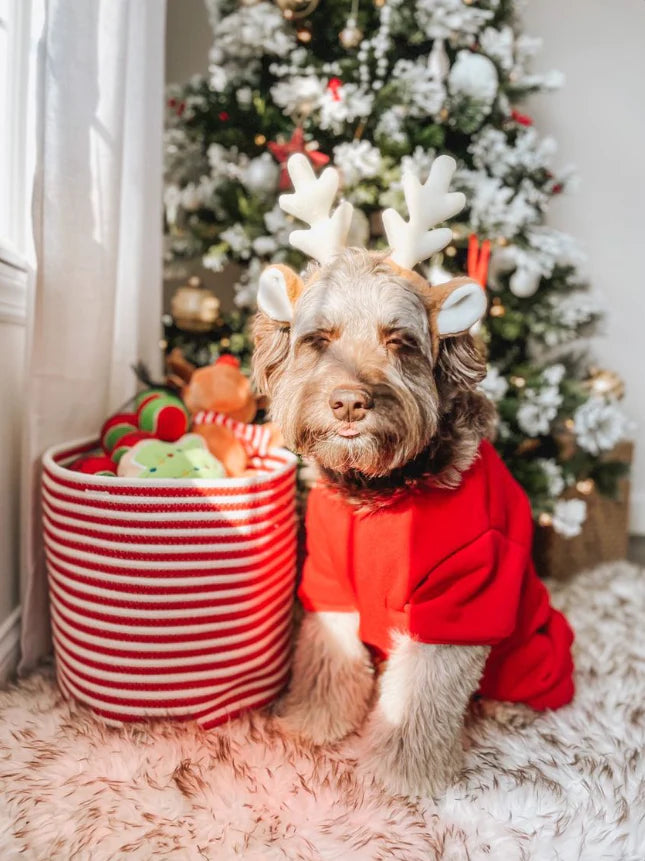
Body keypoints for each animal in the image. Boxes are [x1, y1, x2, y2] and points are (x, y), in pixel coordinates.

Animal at [252, 153, 572, 792]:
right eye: (318, 339)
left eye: (399, 341)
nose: (349, 403)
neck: (379, 493)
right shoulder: (329, 581)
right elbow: (328, 660)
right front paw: (317, 725)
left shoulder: (459, 597)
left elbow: (419, 696)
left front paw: (398, 775)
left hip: (533, 645)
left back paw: (507, 708)